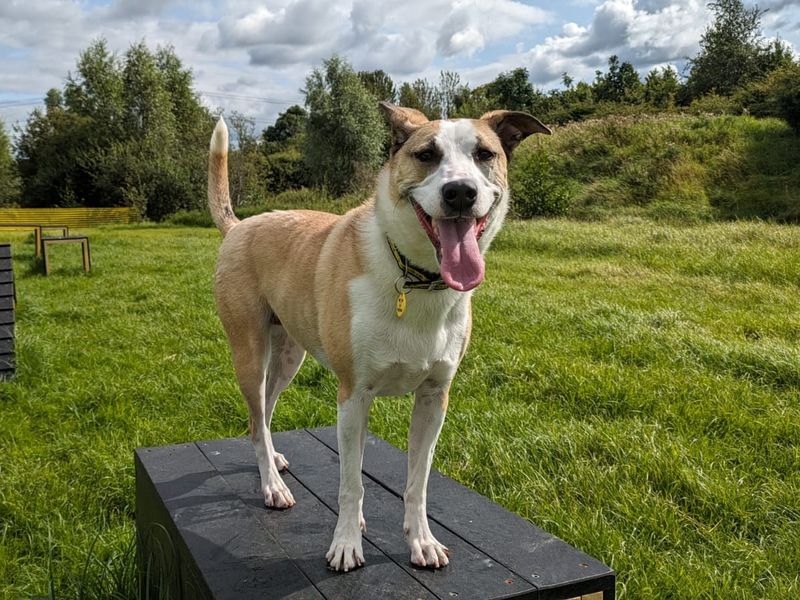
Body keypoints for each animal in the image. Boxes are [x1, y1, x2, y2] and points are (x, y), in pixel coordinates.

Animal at [208, 103, 552, 572]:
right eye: (426, 154)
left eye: (485, 154)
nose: (460, 193)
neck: (415, 277)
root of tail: (240, 225)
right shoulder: (354, 396)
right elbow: (351, 483)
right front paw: (346, 544)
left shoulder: (434, 398)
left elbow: (417, 483)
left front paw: (422, 541)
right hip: (249, 352)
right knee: (256, 414)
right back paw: (272, 485)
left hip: (289, 356)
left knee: (263, 412)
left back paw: (274, 461)